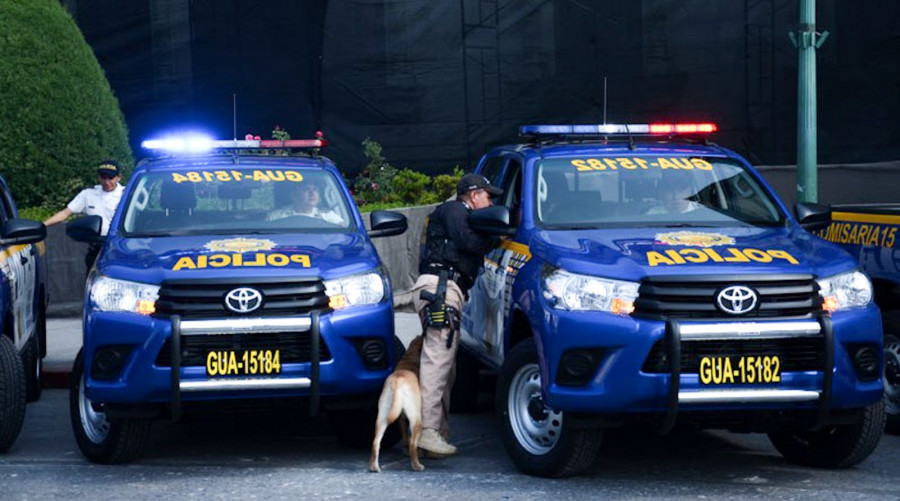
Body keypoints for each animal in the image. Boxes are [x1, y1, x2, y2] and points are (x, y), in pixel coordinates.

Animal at [370, 334, 426, 470]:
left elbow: (405, 437)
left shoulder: (400, 418)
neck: (411, 356)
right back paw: (417, 466)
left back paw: (374, 467)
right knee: (413, 445)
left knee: (375, 443)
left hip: (382, 418)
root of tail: (397, 381)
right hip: (416, 418)